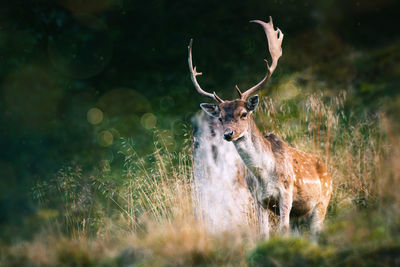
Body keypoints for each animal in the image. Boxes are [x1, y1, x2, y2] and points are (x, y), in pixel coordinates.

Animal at [189, 16, 332, 239]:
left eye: (243, 113)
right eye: (220, 117)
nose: (228, 134)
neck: (264, 175)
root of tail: (328, 171)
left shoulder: (286, 191)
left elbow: (283, 229)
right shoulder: (258, 198)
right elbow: (263, 232)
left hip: (322, 203)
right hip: (301, 214)